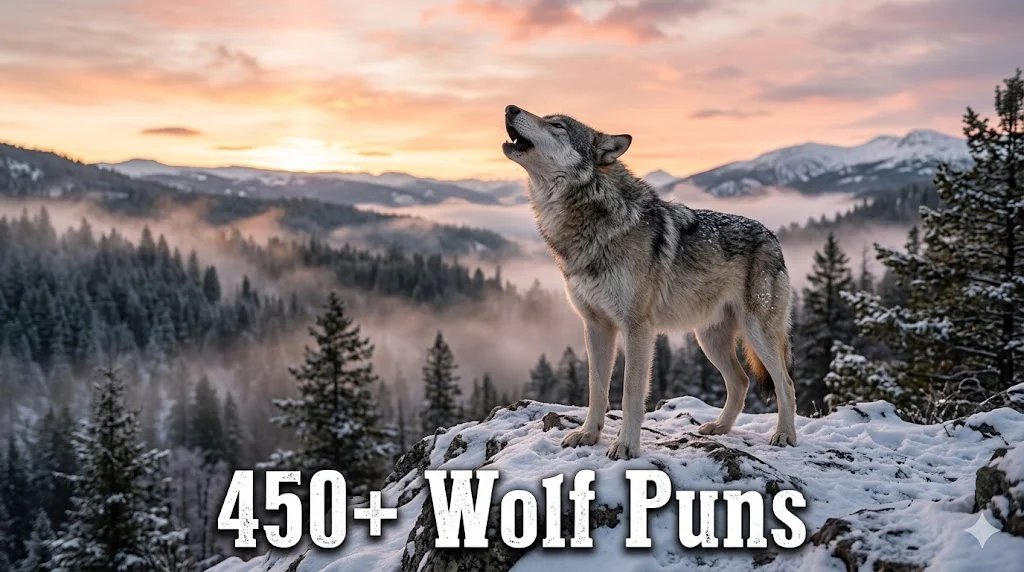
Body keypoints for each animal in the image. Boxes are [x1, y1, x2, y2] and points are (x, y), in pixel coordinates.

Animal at [502, 105, 798, 459]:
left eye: (557, 125)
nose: (510, 108)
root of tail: (773, 237)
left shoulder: (637, 328)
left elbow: (630, 393)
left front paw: (626, 445)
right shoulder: (595, 326)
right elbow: (596, 390)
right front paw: (588, 434)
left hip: (757, 334)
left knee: (785, 383)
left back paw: (784, 435)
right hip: (708, 339)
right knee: (741, 381)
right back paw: (719, 429)